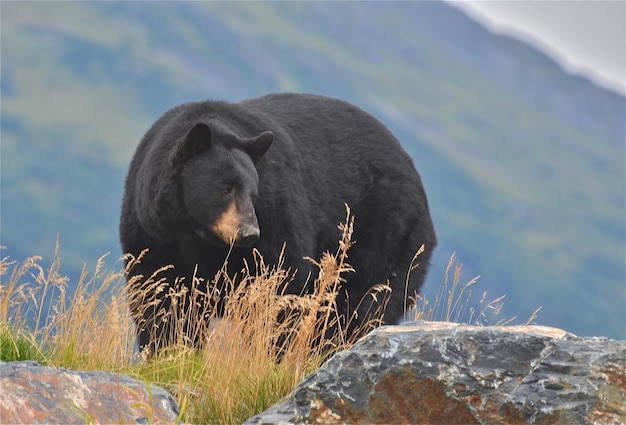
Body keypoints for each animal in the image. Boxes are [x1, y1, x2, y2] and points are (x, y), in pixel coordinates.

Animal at [120, 93, 434, 352]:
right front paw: (170, 351)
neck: (199, 238)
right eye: (225, 189)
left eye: (253, 193)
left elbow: (281, 285)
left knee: (360, 307)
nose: (248, 233)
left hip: (386, 236)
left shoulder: (275, 215)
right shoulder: (153, 233)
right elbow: (159, 294)